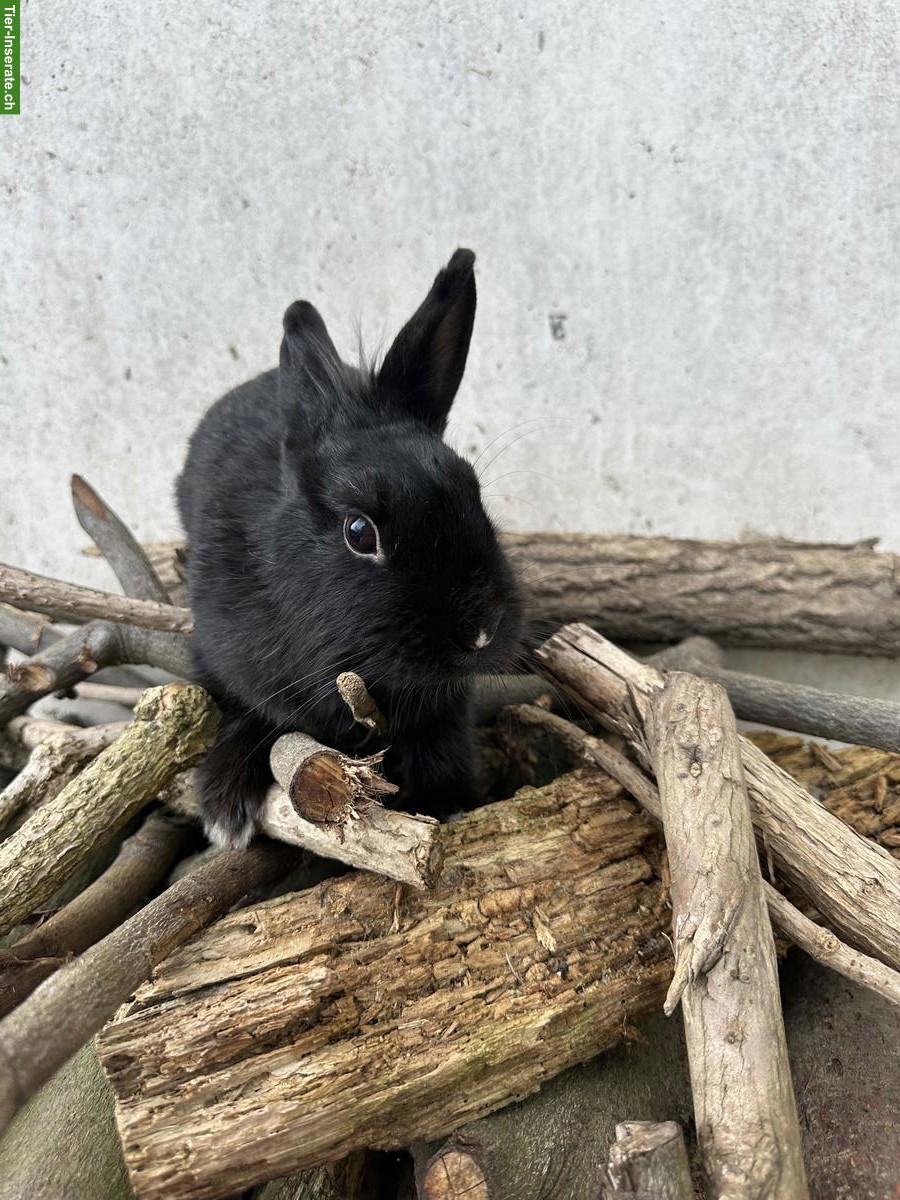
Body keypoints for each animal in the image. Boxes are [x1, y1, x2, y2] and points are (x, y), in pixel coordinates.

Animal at [176, 249, 524, 848]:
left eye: (472, 491)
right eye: (360, 533)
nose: (481, 632)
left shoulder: (443, 707)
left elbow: (441, 742)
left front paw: (451, 802)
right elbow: (248, 716)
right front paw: (223, 811)